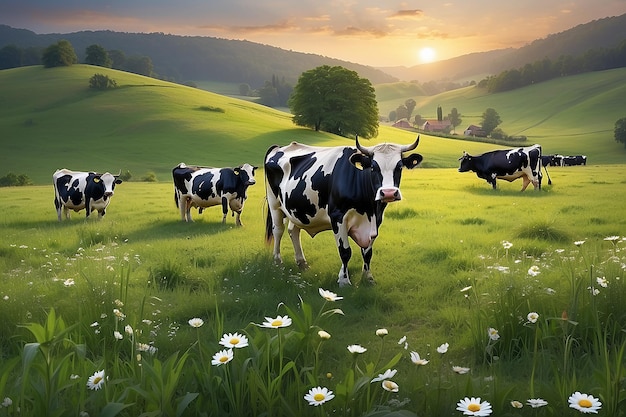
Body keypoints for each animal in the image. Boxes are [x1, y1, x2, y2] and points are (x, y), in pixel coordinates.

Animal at [260, 134, 422, 286]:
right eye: (373, 167)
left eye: (399, 167)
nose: (388, 193)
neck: (369, 209)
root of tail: (278, 147)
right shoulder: (337, 216)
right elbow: (345, 251)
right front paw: (344, 281)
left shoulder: (376, 220)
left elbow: (367, 252)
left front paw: (368, 278)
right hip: (274, 203)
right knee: (278, 230)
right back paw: (277, 262)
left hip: (296, 209)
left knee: (293, 230)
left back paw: (302, 263)